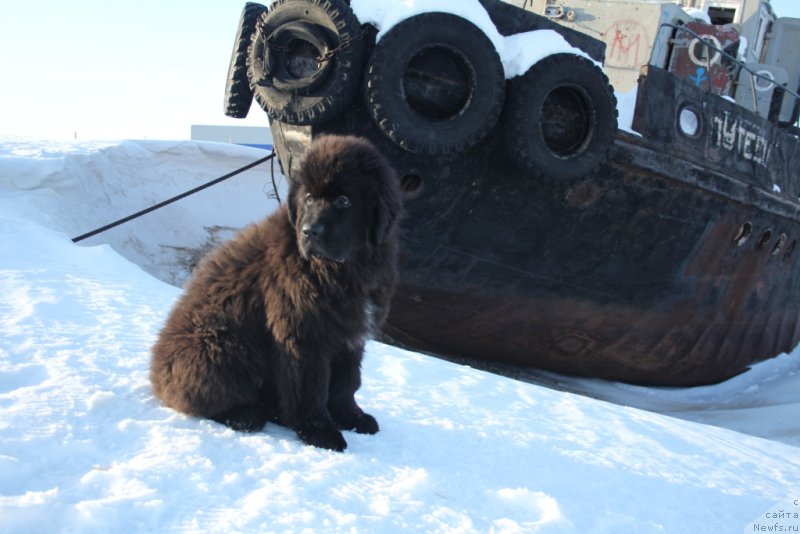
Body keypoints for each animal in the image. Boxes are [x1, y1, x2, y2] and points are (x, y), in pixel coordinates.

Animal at [149, 137, 400, 452]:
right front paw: (320, 431)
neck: (344, 268)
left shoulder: (350, 334)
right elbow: (310, 387)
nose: (309, 231)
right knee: (210, 396)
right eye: (309, 198)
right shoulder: (303, 333)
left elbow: (346, 383)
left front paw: (352, 417)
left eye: (344, 200)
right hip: (223, 345)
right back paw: (245, 416)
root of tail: (156, 374)